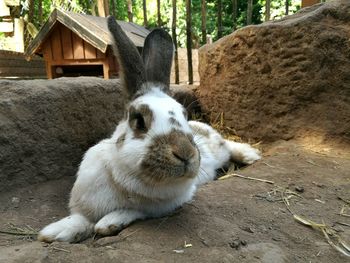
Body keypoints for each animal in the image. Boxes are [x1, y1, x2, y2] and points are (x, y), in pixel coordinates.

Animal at [37, 16, 260, 244]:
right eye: (139, 120)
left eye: (184, 115)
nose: (186, 154)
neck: (127, 180)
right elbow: (81, 218)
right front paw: (55, 232)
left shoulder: (162, 206)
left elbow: (133, 211)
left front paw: (109, 223)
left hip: (218, 148)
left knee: (228, 146)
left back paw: (250, 154)